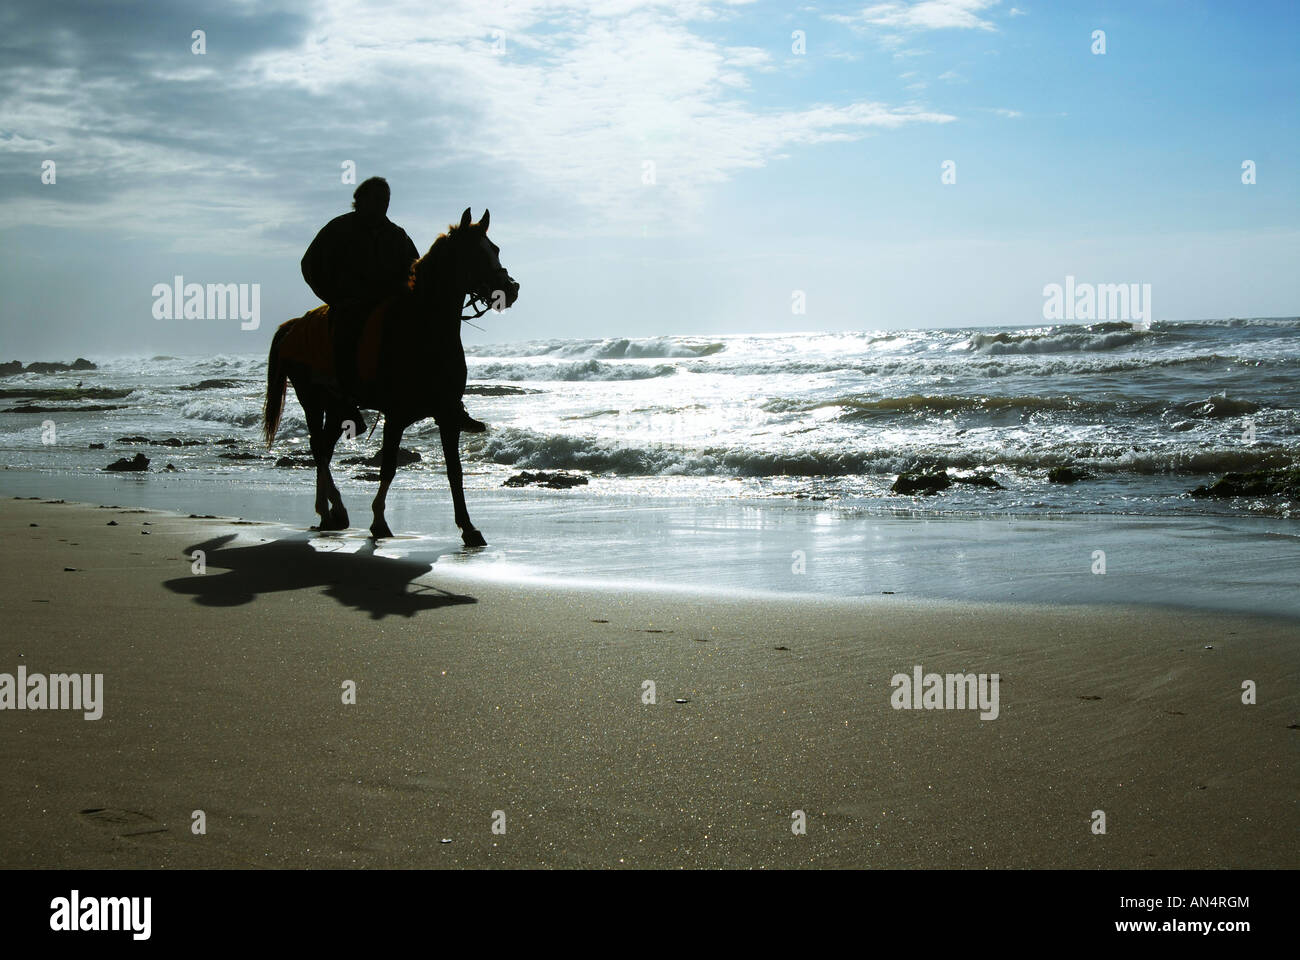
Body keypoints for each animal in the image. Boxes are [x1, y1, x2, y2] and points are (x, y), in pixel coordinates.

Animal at [262, 207, 519, 546]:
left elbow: (455, 471)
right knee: (318, 448)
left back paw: (331, 513)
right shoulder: (396, 415)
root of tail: (292, 326)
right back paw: (331, 510)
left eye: (495, 249)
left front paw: (468, 527)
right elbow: (388, 468)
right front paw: (379, 522)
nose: (511, 289)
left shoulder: (447, 415)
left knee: (325, 449)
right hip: (311, 399)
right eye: (474, 253)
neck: (425, 330)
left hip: (337, 408)